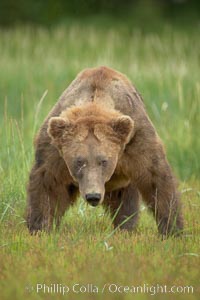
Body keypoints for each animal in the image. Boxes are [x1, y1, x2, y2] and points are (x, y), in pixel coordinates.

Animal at [26, 66, 183, 237]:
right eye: (79, 161)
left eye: (103, 161)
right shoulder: (54, 151)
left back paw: (125, 227)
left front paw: (173, 229)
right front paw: (39, 228)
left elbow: (157, 178)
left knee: (126, 200)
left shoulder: (136, 140)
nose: (93, 196)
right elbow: (48, 184)